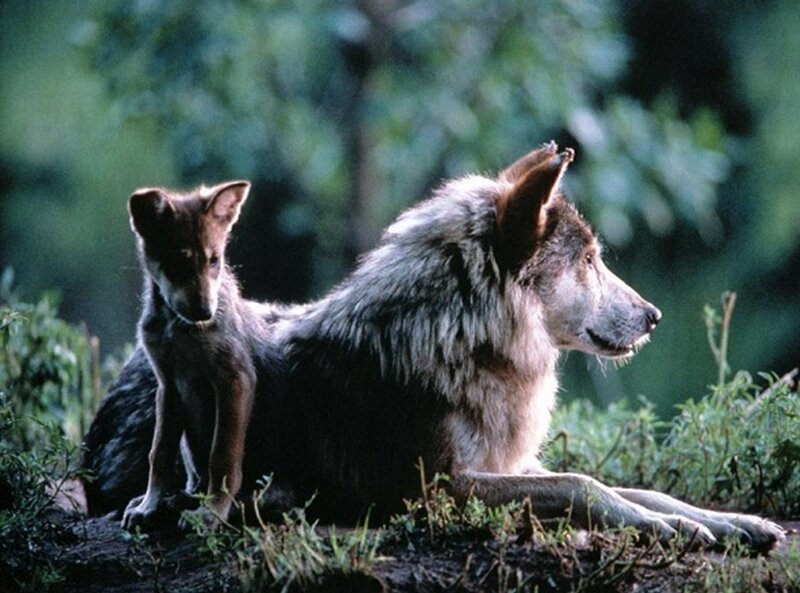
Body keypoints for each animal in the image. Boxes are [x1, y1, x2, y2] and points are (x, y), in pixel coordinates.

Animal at [82, 143, 784, 549]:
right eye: (588, 260)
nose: (654, 316)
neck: (461, 342)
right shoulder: (438, 489)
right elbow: (584, 485)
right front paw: (675, 529)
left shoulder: (506, 465)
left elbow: (637, 489)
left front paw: (728, 523)